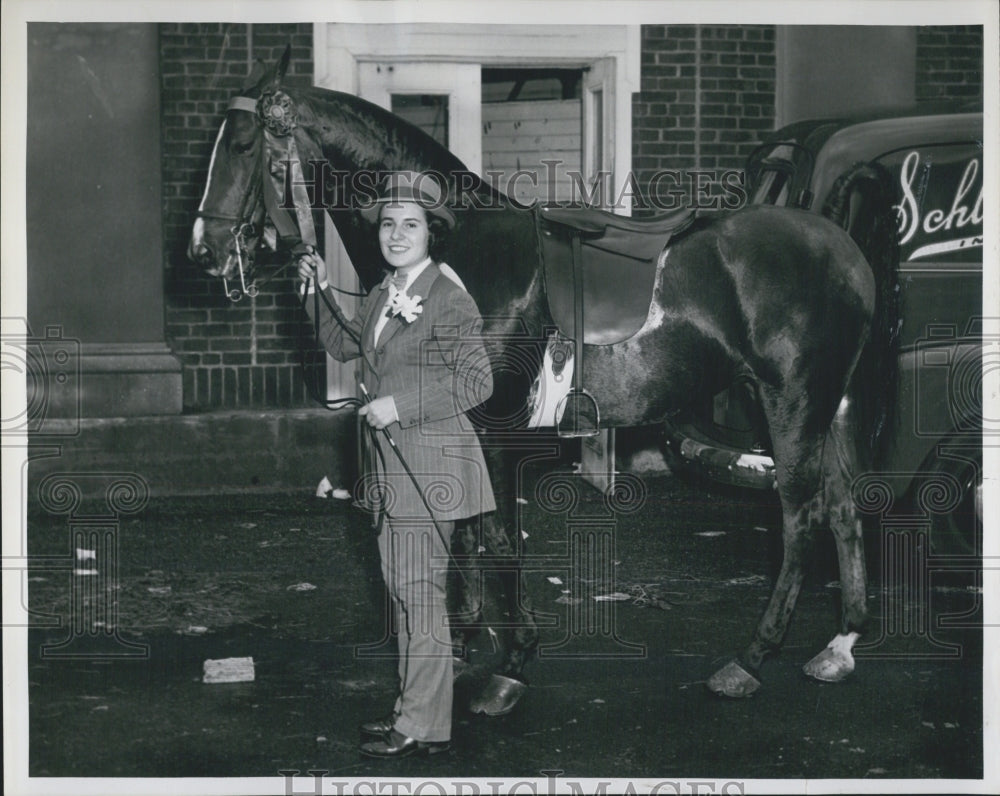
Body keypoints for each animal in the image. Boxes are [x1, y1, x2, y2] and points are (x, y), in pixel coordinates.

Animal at [186, 46, 900, 700]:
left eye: (244, 143)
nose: (205, 249)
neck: (454, 249)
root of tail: (840, 246)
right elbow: (465, 530)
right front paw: (466, 646)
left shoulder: (493, 428)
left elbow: (498, 535)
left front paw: (511, 663)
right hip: (825, 406)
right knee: (842, 505)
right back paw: (840, 643)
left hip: (791, 402)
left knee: (801, 514)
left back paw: (752, 658)